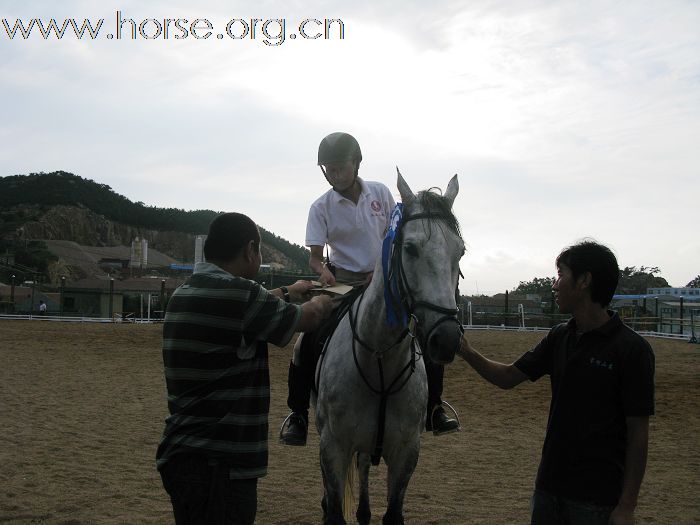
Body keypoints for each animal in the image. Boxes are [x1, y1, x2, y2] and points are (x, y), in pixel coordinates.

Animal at [314, 170, 464, 520]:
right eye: (409, 248)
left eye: (460, 252)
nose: (447, 339)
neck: (380, 358)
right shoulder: (333, 446)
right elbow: (334, 509)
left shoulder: (406, 452)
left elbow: (393, 513)